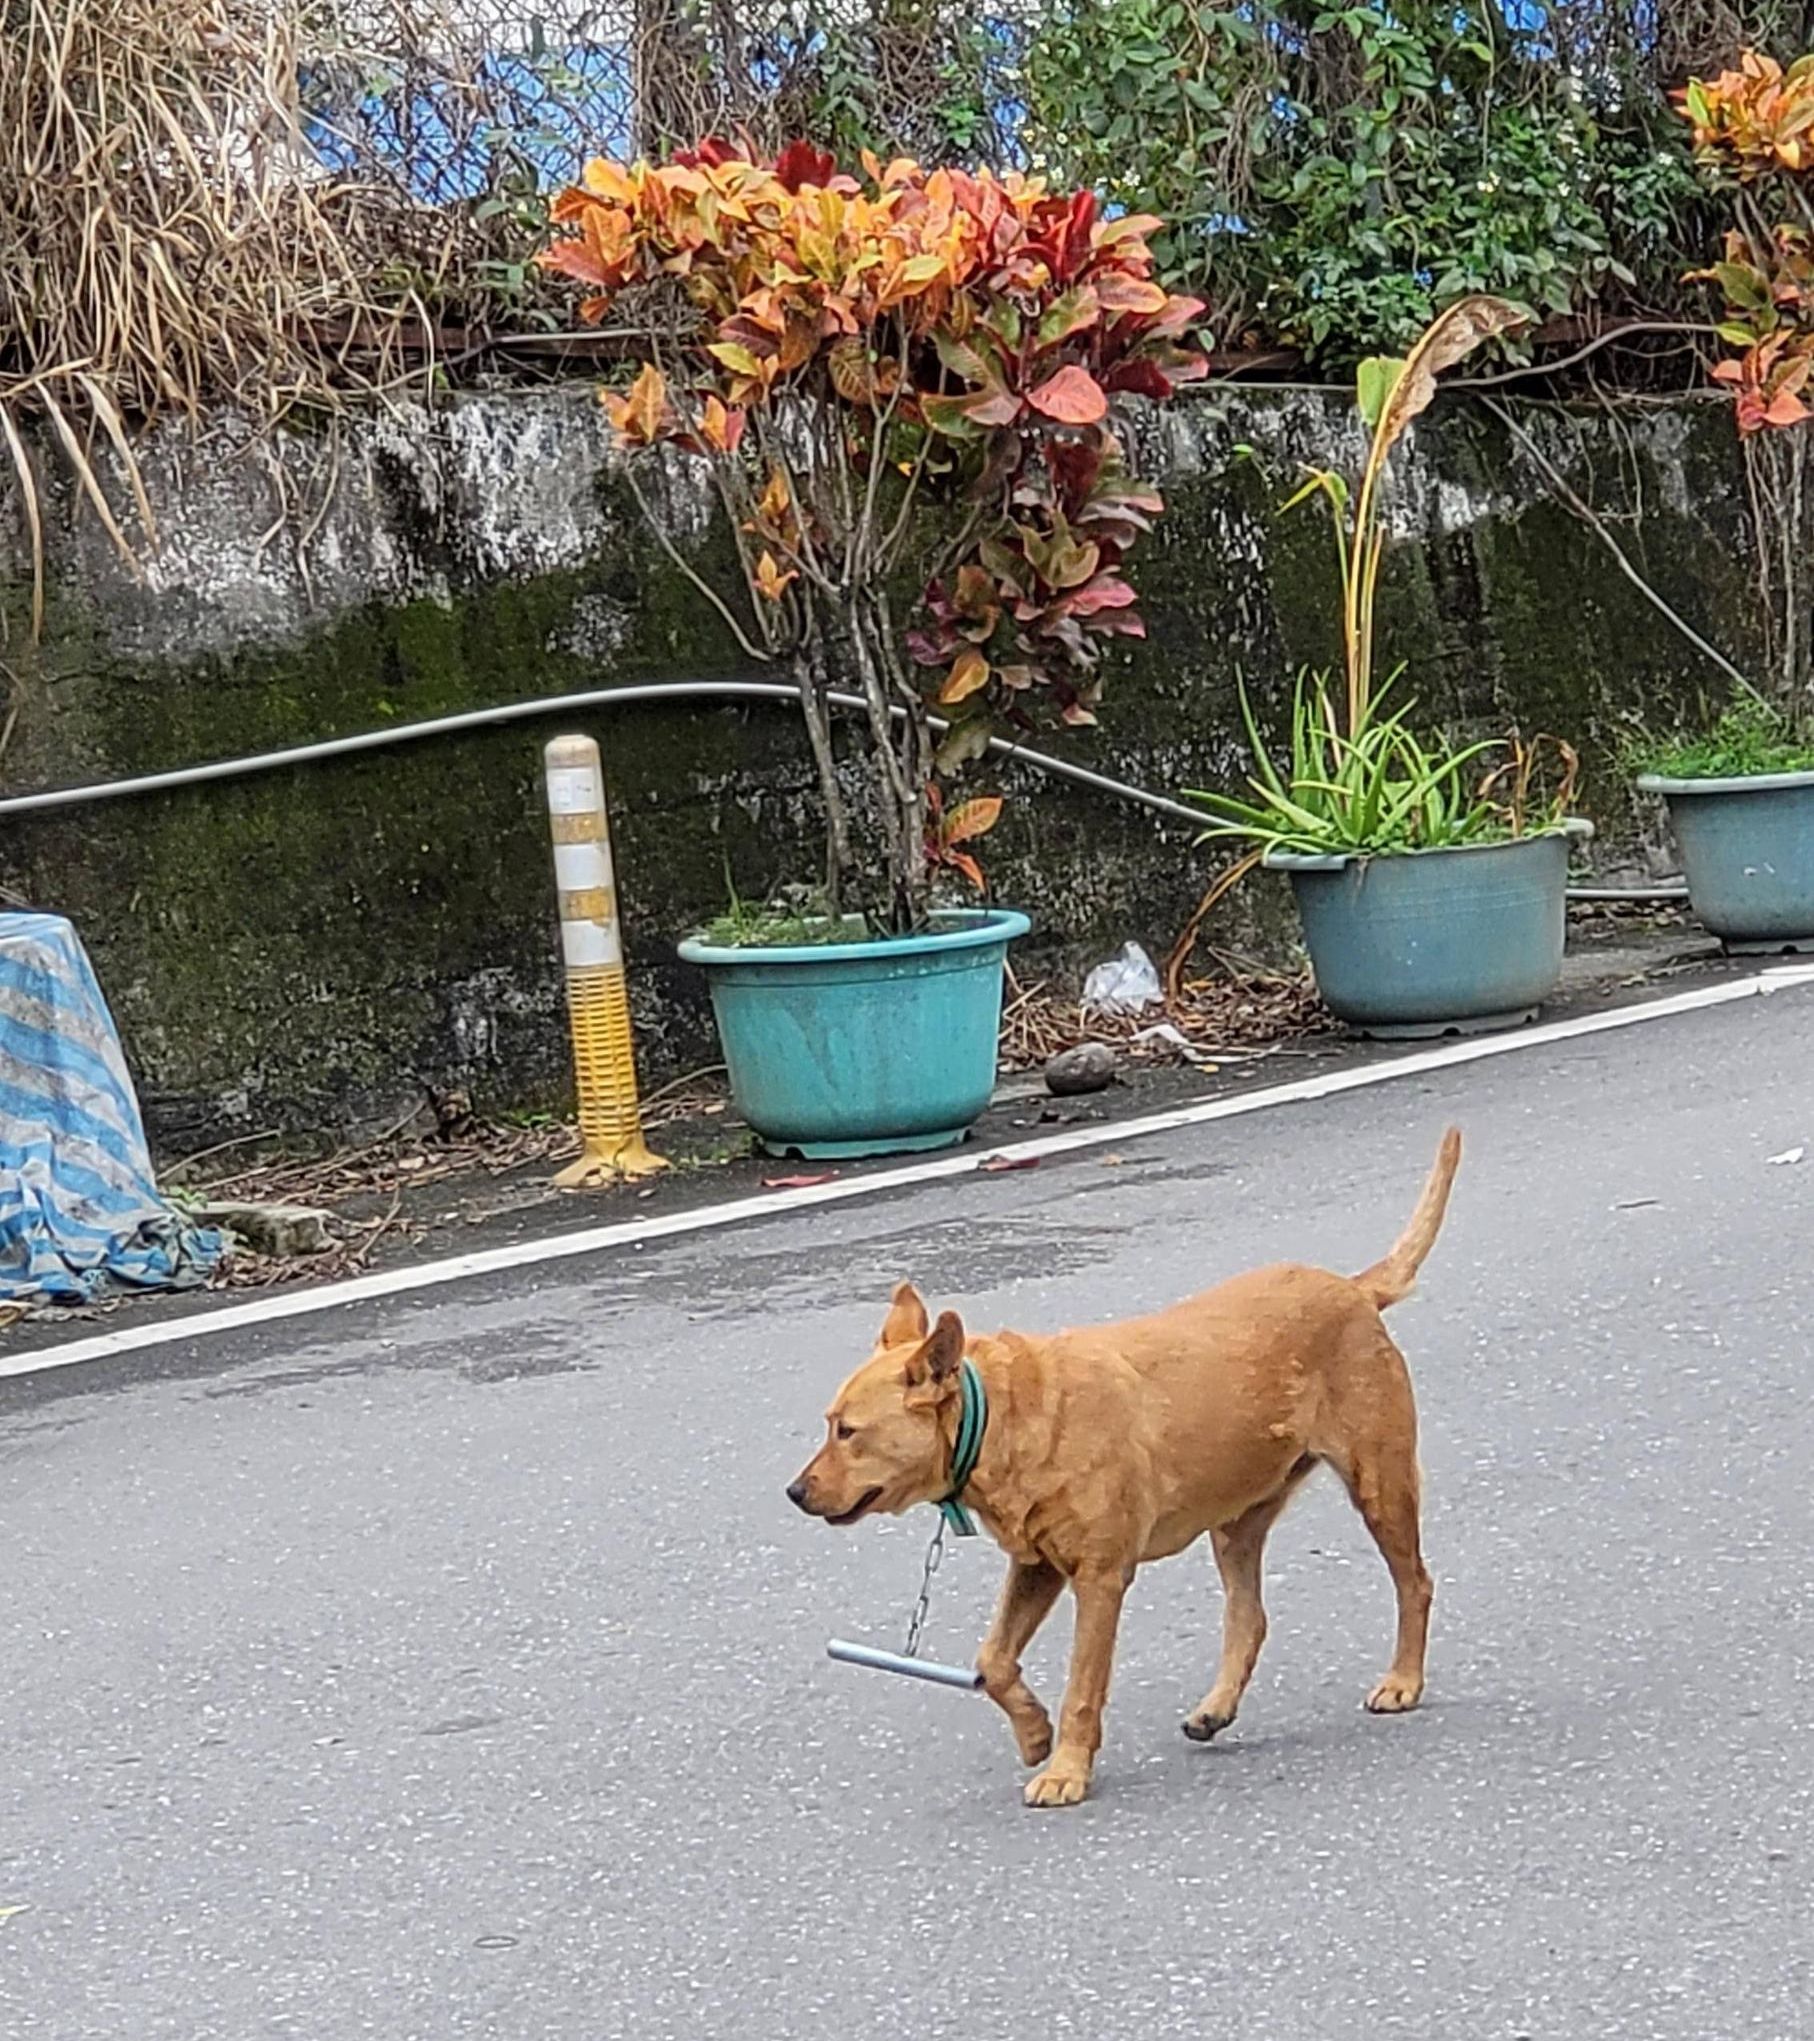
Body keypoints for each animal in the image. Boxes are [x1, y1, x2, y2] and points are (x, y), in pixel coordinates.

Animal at [787, 1126, 1460, 1812]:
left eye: (848, 1432)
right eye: (829, 1423)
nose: (793, 1492)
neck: (1004, 1415)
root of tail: (1353, 1289)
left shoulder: (1099, 1579)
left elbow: (1082, 1687)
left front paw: (1066, 1769)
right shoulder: (1035, 1567)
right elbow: (992, 1661)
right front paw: (1034, 1732)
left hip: (1379, 1483)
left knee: (1416, 1584)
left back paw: (1404, 1680)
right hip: (1236, 1520)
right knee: (1250, 1619)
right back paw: (1216, 1708)